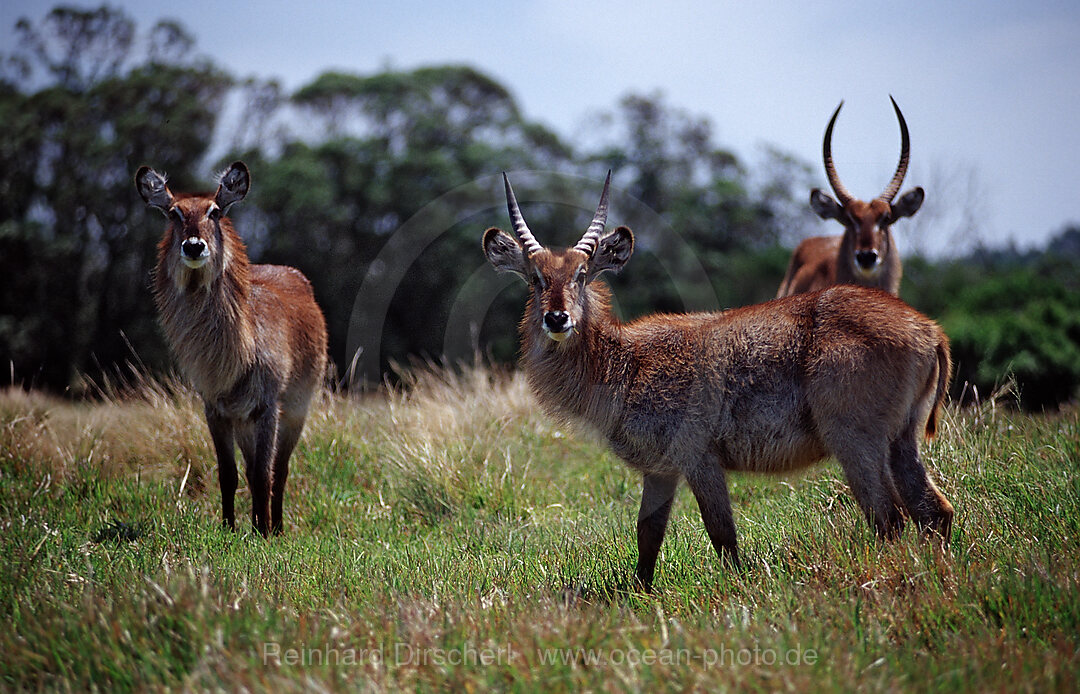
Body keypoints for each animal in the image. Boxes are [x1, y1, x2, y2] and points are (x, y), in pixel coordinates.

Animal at [133, 162, 324, 537]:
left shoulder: (267, 408)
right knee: (251, 470)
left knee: (279, 471)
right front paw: (230, 529)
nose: (194, 246)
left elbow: (264, 475)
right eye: (174, 213)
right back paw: (257, 523)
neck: (236, 355)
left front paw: (264, 535)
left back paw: (276, 527)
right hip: (244, 422)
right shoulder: (216, 410)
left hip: (296, 407)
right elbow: (229, 475)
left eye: (215, 211)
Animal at [488, 172, 954, 587]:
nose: (557, 318)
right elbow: (647, 537)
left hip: (855, 439)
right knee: (934, 511)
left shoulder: (699, 457)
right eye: (536, 278)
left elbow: (722, 535)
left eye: (582, 274)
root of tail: (929, 329)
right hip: (902, 438)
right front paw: (639, 596)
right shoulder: (660, 469)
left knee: (890, 518)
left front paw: (736, 594)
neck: (625, 362)